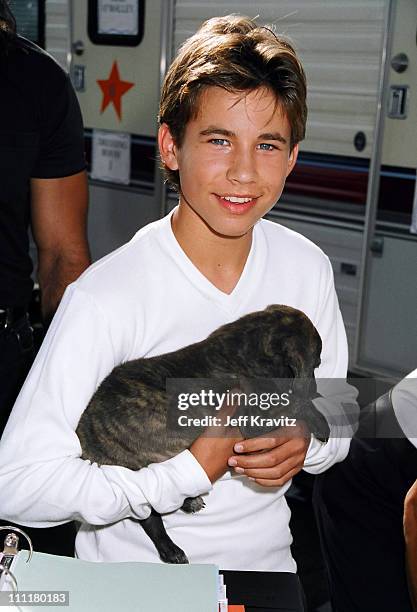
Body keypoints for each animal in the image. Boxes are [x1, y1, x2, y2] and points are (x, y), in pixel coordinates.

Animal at [76, 304, 326, 564]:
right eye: (317, 363)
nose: (316, 390)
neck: (248, 346)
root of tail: (84, 432)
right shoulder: (252, 418)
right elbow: (292, 404)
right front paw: (318, 418)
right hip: (131, 473)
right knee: (149, 516)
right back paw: (171, 549)